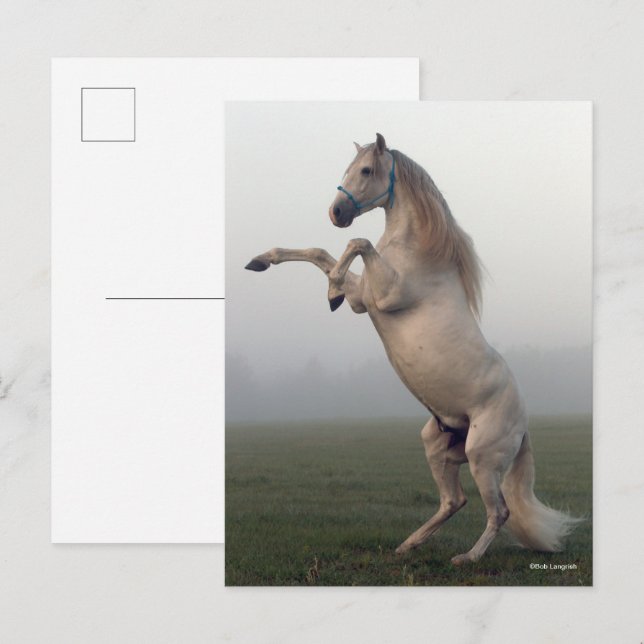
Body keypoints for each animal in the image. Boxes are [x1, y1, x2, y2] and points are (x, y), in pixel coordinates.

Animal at [245, 133, 581, 565]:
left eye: (366, 170)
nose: (336, 212)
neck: (418, 254)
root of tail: (524, 427)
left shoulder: (380, 297)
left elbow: (356, 243)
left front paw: (331, 289)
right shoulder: (363, 298)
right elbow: (322, 253)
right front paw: (263, 261)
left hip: (482, 456)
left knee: (499, 511)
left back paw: (466, 558)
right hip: (438, 445)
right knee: (454, 501)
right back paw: (407, 545)